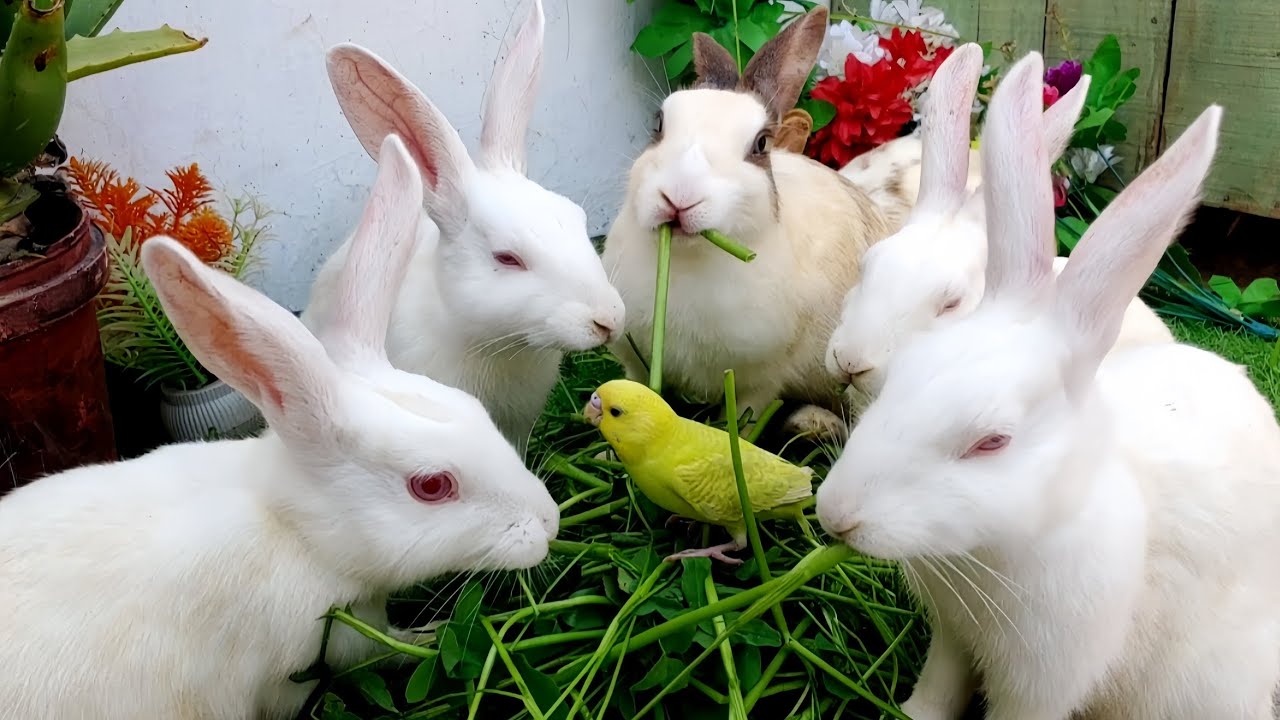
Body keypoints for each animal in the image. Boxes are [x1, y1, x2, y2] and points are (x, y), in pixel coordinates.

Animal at [0, 135, 561, 720]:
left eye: (478, 414)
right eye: (431, 486)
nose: (549, 522)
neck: (298, 530)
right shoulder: (328, 646)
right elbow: (384, 650)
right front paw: (430, 634)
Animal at [601, 6, 892, 442]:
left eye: (760, 144)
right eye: (658, 124)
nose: (678, 196)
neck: (687, 261)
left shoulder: (758, 382)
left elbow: (744, 420)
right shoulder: (633, 361)